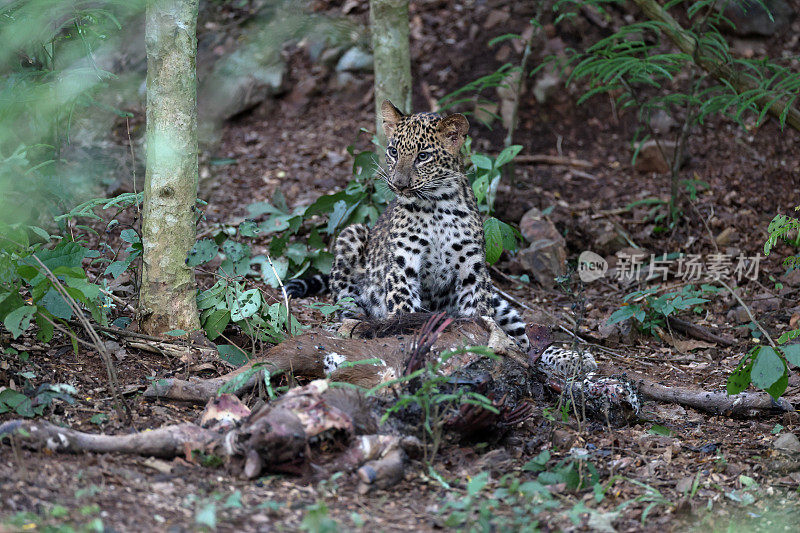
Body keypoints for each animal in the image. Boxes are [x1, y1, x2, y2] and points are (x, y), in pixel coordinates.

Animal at [288, 100, 532, 350]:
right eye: (393, 152)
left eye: (423, 156)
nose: (399, 184)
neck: (436, 206)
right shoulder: (403, 264)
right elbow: (403, 309)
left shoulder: (472, 268)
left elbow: (478, 311)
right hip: (352, 234)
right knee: (344, 302)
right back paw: (357, 322)